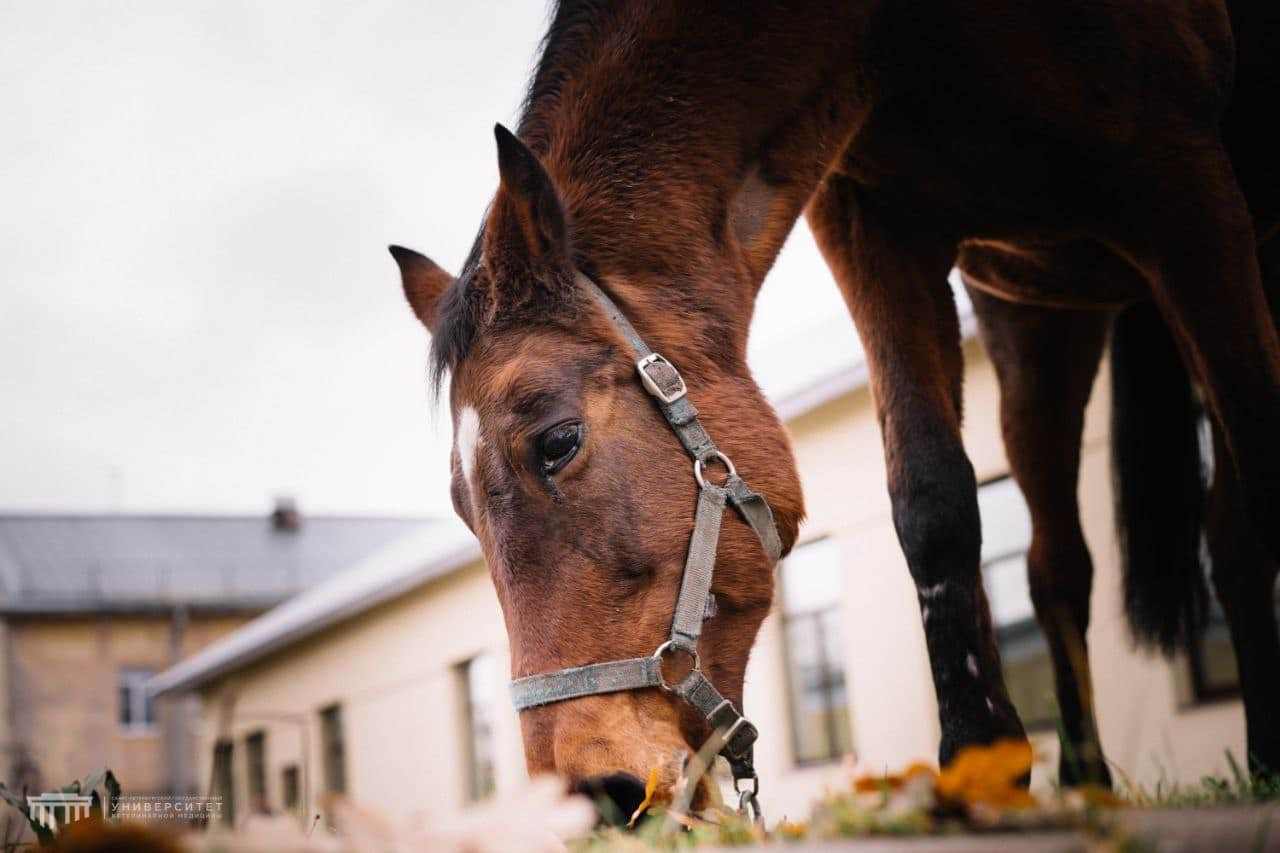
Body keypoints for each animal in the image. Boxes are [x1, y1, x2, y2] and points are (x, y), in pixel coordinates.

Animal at [394, 0, 1274, 809]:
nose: (593, 794)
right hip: (1032, 318)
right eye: (461, 508)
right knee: (1059, 560)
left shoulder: (1185, 182)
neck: (893, 33)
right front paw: (982, 767)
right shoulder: (876, 229)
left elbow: (1253, 462)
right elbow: (931, 503)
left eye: (557, 441)